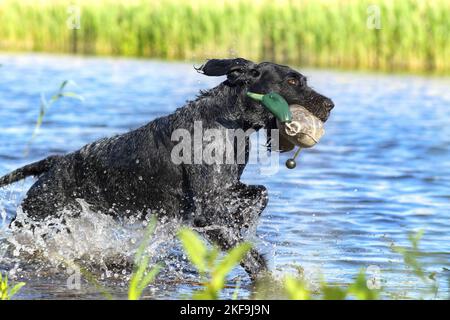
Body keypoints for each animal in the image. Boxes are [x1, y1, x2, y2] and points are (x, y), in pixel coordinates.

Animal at [0, 58, 330, 280]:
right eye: (292, 81)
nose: (330, 105)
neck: (229, 120)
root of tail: (56, 162)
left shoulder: (223, 192)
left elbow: (259, 195)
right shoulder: (206, 211)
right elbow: (247, 245)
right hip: (33, 219)